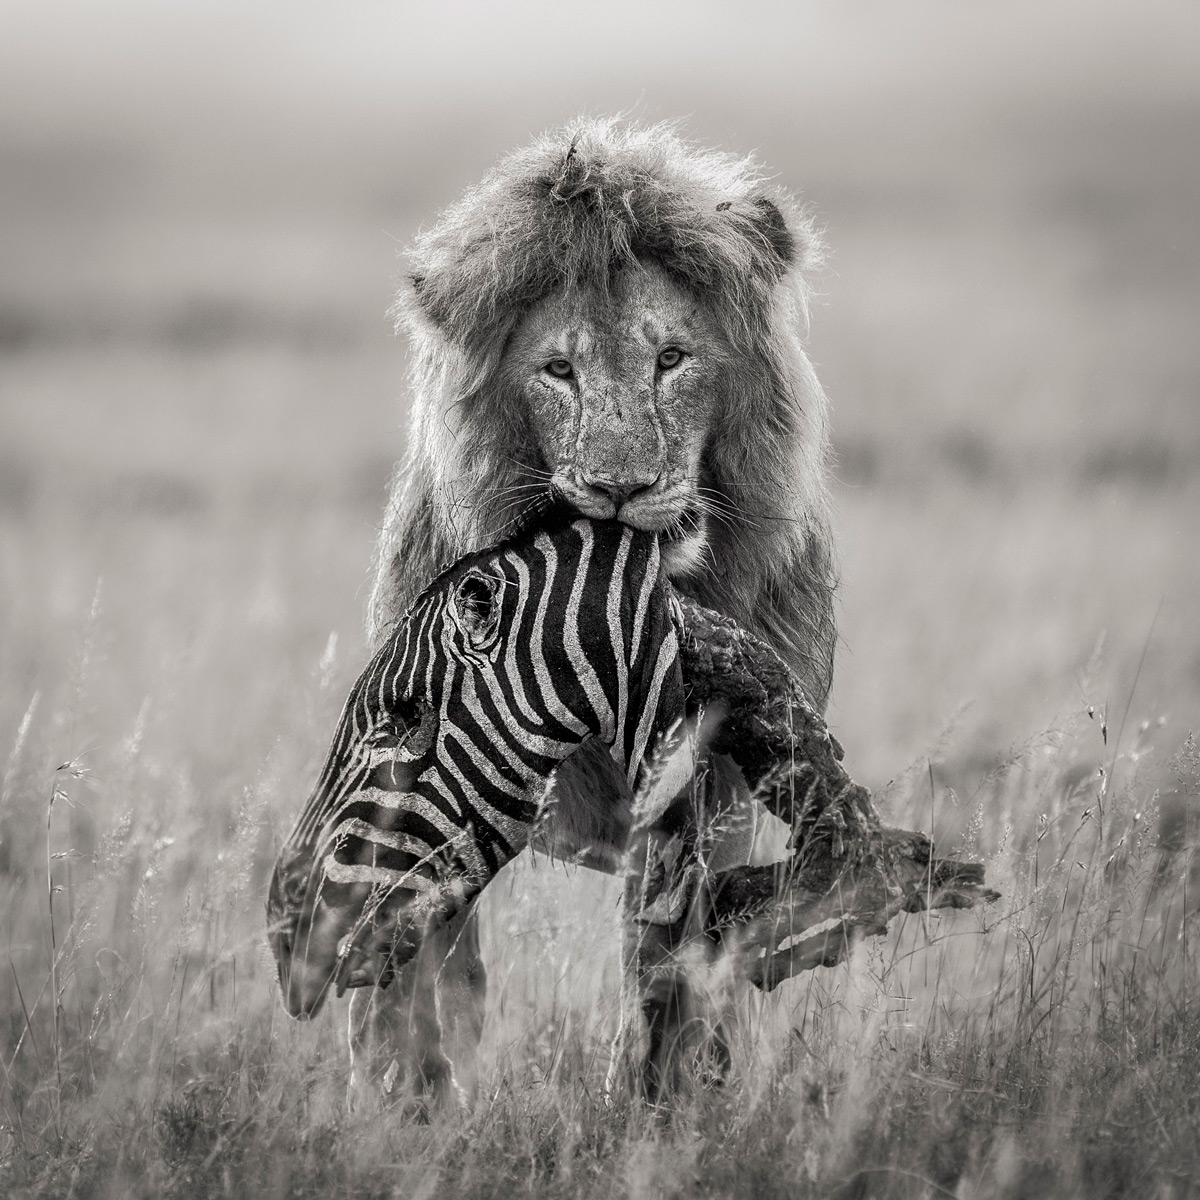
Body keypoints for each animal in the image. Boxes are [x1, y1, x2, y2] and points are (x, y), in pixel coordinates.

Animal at [348, 117, 835, 1099]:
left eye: (671, 359)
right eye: (558, 370)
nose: (619, 489)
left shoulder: (702, 797)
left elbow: (660, 965)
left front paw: (655, 1097)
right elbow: (430, 964)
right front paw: (409, 1091)